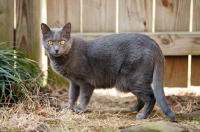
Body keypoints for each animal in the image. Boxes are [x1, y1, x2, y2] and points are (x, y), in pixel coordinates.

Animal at [40, 22, 175, 120]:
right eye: (50, 42)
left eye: (62, 42)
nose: (56, 50)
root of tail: (150, 41)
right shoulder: (74, 82)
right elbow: (72, 95)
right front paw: (68, 106)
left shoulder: (85, 82)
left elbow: (84, 96)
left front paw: (80, 109)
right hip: (131, 82)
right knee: (141, 97)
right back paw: (132, 108)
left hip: (132, 80)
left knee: (151, 96)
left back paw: (142, 116)